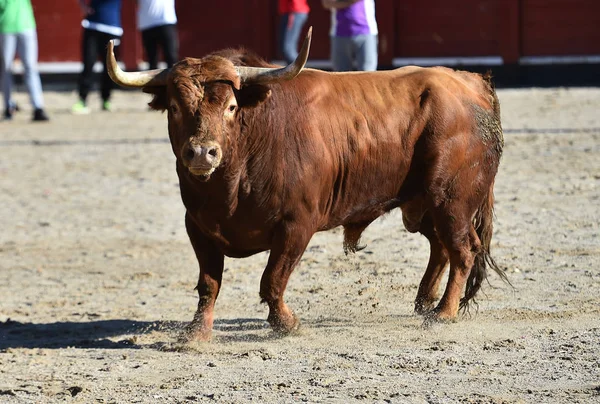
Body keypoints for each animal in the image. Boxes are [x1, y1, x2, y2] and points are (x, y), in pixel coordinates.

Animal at [106, 28, 506, 340]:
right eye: (174, 108)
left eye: (231, 107)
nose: (202, 153)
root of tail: (471, 83)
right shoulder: (198, 226)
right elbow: (209, 284)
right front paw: (196, 333)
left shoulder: (297, 224)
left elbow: (272, 279)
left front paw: (286, 323)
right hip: (421, 204)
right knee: (441, 247)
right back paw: (424, 303)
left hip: (451, 200)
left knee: (462, 249)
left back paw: (443, 313)